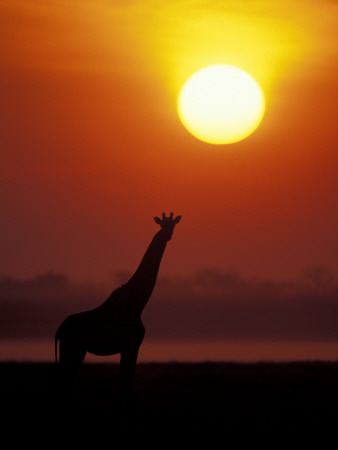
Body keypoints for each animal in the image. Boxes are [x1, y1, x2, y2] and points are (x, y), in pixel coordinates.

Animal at [54, 214, 182, 414]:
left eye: (173, 225)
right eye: (162, 225)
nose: (168, 234)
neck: (138, 304)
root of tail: (60, 329)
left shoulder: (127, 347)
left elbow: (124, 383)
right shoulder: (132, 344)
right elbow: (127, 384)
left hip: (73, 350)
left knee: (65, 383)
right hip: (72, 349)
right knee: (63, 383)